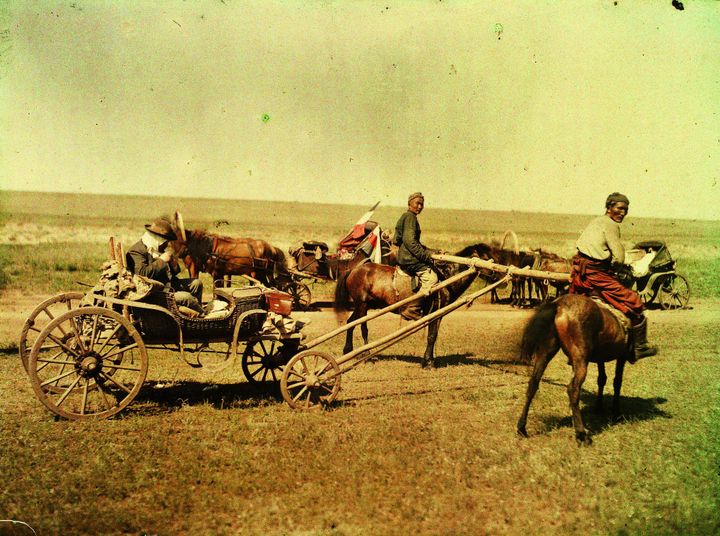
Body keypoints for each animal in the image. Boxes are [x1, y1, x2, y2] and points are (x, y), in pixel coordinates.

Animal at [334, 243, 496, 368]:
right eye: (485, 258)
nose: (495, 273)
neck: (446, 277)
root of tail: (353, 270)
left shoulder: (439, 314)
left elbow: (434, 335)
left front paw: (430, 360)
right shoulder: (434, 311)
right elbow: (431, 336)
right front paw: (428, 363)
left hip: (362, 305)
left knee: (350, 323)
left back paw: (348, 350)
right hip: (362, 305)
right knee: (362, 327)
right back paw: (365, 354)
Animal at [516, 294, 632, 444]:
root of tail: (558, 305)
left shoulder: (601, 358)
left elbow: (602, 379)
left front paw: (599, 407)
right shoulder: (622, 356)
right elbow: (617, 381)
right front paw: (616, 412)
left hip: (546, 351)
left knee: (533, 384)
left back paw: (522, 428)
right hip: (580, 358)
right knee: (573, 389)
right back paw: (581, 434)